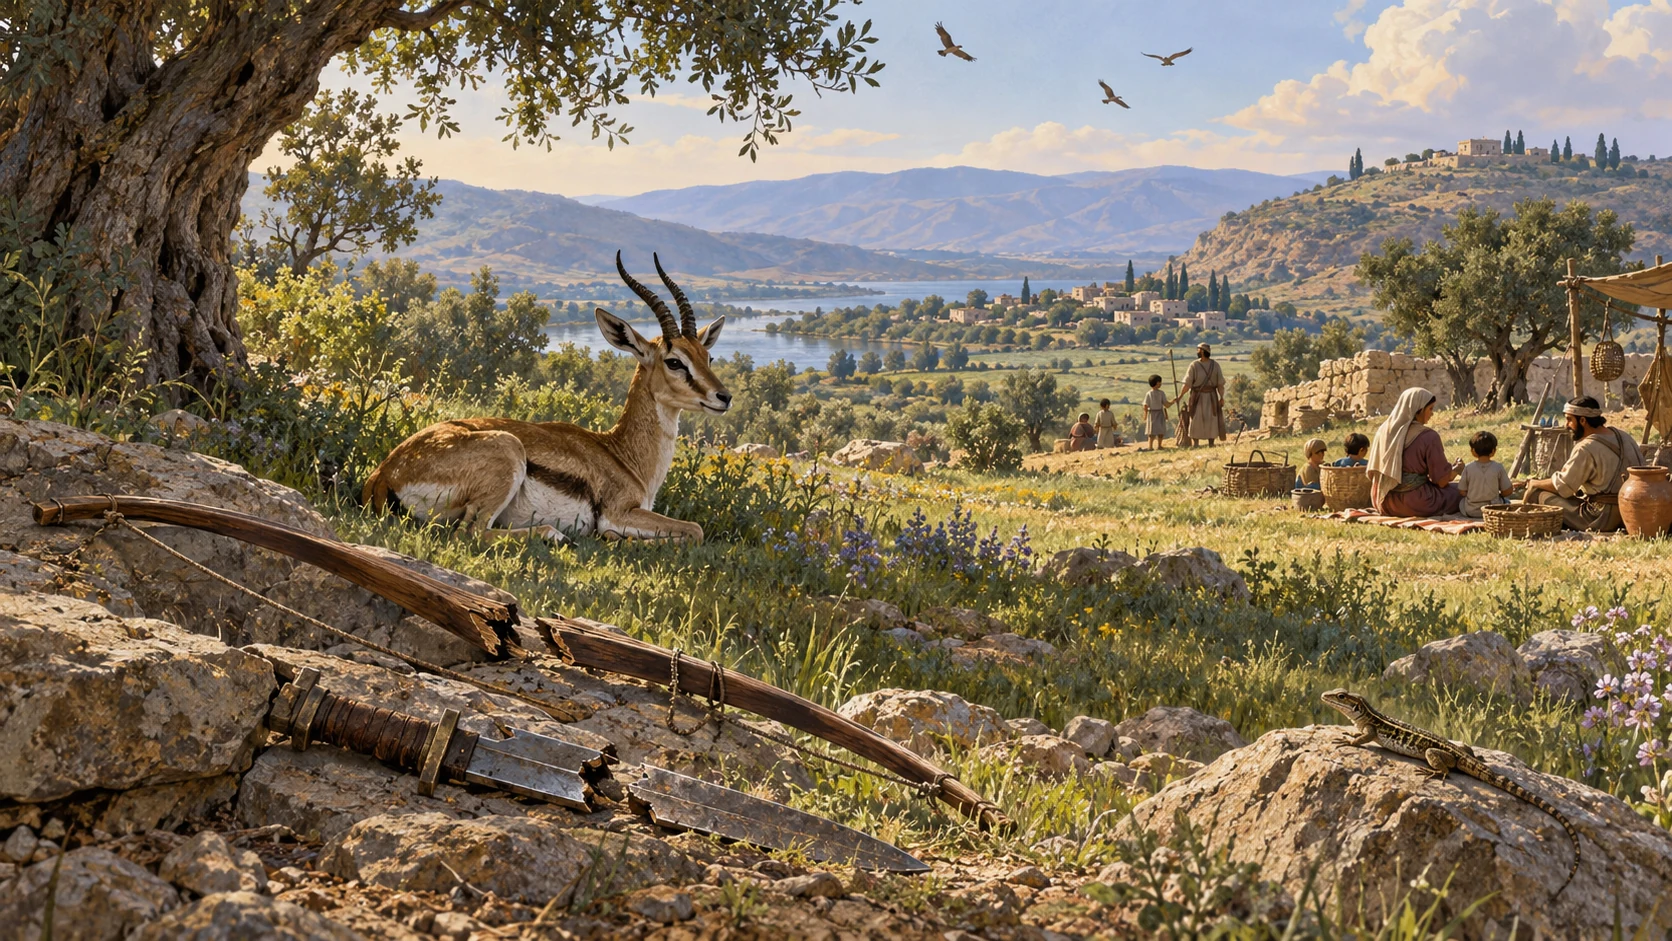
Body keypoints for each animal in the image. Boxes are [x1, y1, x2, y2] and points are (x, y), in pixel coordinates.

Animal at [362, 252, 730, 543]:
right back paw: (553, 534)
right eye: (674, 361)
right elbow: (694, 530)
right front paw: (613, 538)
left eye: (707, 356)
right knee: (473, 533)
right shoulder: (618, 512)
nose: (723, 396)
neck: (624, 456)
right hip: (507, 454)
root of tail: (385, 472)